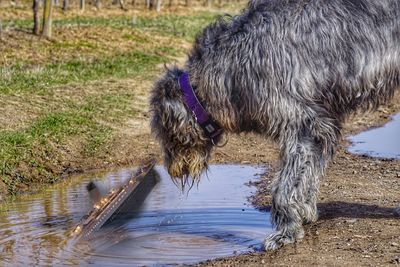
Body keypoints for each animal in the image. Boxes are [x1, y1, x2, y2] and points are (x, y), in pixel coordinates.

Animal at [150, 0, 400, 251]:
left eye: (163, 131)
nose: (172, 170)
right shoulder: (323, 124)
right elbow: (310, 172)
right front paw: (304, 211)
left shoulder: (302, 125)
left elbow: (284, 185)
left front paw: (286, 231)